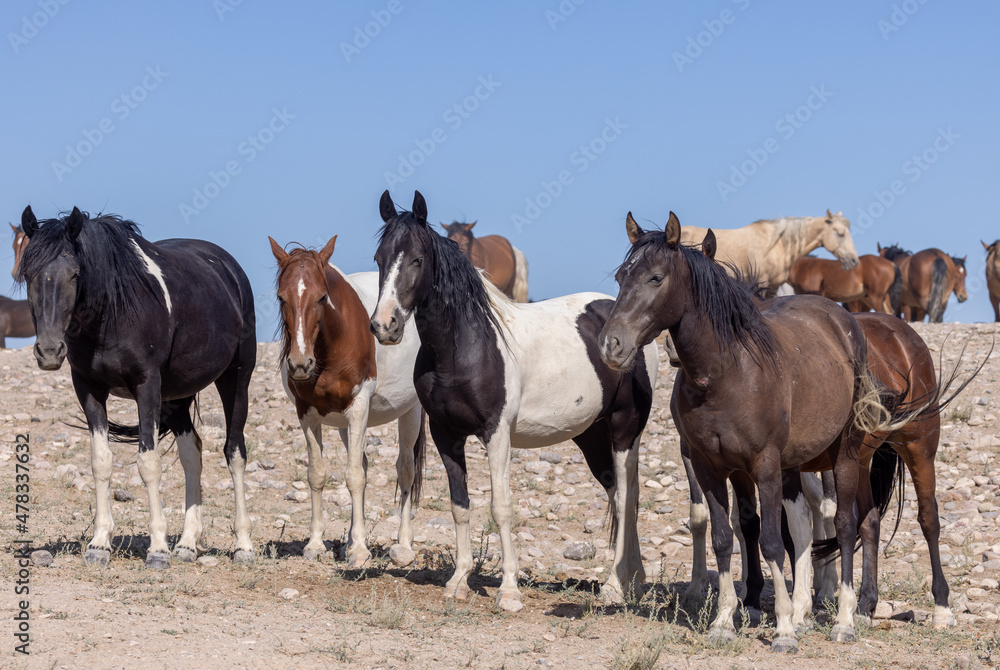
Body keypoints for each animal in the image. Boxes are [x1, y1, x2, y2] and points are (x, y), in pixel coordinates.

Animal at [18, 207, 258, 568]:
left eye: (75, 274)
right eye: (28, 273)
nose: (49, 351)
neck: (113, 312)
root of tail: (230, 269)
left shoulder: (147, 387)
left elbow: (148, 464)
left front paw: (157, 549)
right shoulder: (88, 389)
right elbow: (101, 461)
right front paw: (99, 543)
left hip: (235, 381)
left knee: (234, 452)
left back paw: (243, 546)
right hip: (177, 397)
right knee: (192, 454)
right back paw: (187, 544)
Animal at [268, 239, 424, 568]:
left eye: (321, 296)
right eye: (281, 297)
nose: (300, 364)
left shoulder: (359, 407)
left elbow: (355, 478)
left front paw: (360, 551)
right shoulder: (308, 413)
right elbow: (318, 475)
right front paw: (316, 544)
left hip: (411, 411)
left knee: (406, 470)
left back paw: (403, 544)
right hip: (343, 425)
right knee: (363, 463)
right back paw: (351, 540)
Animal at [372, 190, 660, 616]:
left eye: (417, 260)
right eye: (379, 258)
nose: (384, 325)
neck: (464, 346)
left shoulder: (497, 435)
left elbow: (501, 508)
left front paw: (509, 590)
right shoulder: (445, 435)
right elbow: (460, 505)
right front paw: (458, 581)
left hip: (626, 430)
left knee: (626, 499)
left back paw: (614, 584)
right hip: (591, 436)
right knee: (619, 495)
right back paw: (634, 581)